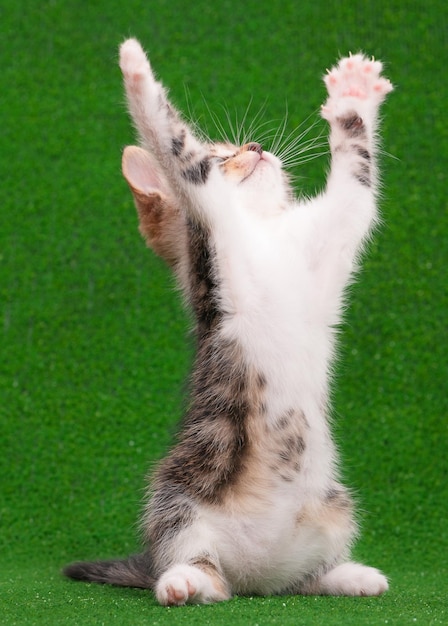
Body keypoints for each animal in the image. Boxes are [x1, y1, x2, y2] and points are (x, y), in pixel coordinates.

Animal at [63, 36, 392, 604]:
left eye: (242, 148)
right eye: (221, 156)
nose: (256, 148)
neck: (263, 232)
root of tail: (254, 575)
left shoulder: (334, 230)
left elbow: (358, 178)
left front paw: (353, 97)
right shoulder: (207, 228)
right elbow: (171, 141)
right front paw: (135, 70)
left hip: (334, 507)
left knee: (298, 580)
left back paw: (346, 575)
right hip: (177, 497)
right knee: (204, 570)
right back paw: (184, 580)